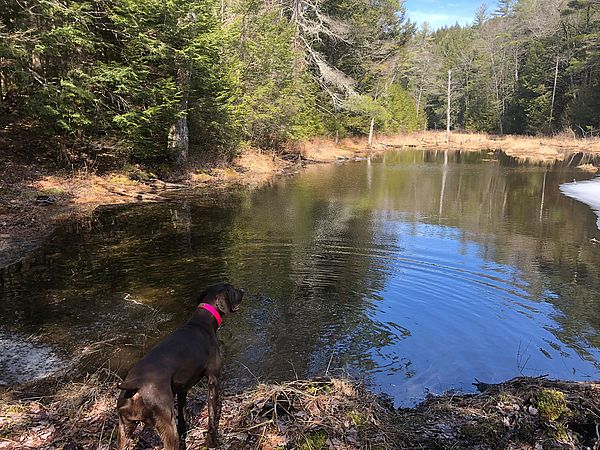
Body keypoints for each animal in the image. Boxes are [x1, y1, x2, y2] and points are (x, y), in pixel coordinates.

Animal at [116, 284, 243, 448]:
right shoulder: (213, 380)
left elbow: (182, 413)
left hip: (124, 429)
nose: (242, 291)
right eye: (233, 290)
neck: (202, 322)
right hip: (168, 426)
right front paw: (212, 441)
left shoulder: (183, 389)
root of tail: (134, 385)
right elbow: (212, 414)